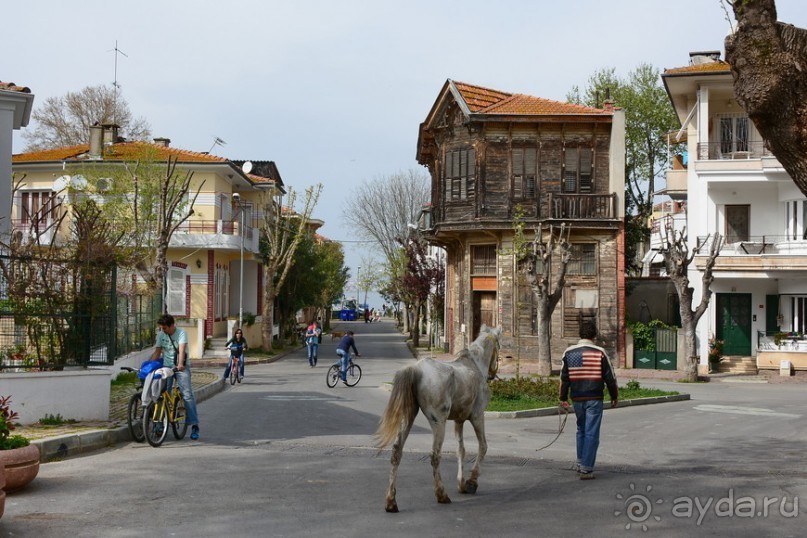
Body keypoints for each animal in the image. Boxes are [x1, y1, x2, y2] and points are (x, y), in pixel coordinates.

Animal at [378, 322, 502, 510]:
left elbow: (461, 450)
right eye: (499, 346)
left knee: (396, 452)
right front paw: (471, 482)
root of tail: (416, 369)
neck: (474, 365)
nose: (492, 374)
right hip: (439, 423)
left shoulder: (459, 421)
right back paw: (441, 495)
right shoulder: (477, 417)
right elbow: (483, 447)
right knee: (435, 456)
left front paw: (461, 484)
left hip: (408, 418)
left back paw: (391, 501)